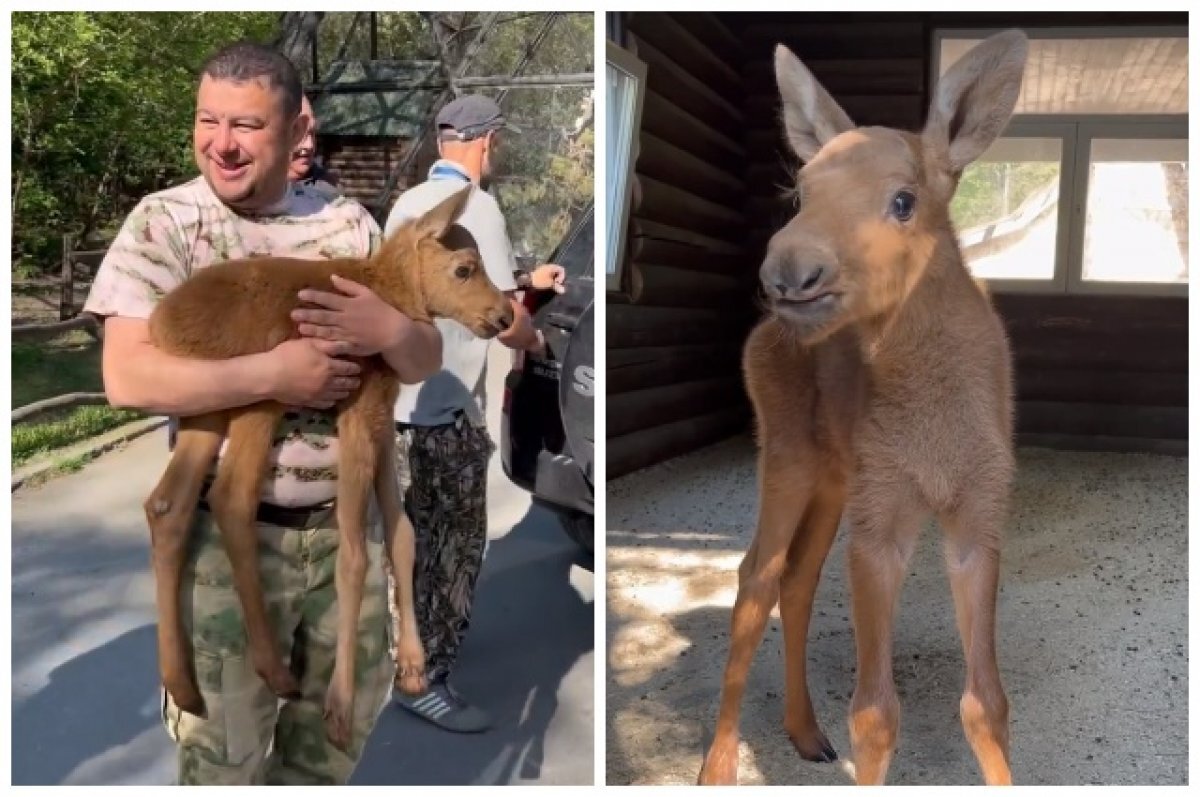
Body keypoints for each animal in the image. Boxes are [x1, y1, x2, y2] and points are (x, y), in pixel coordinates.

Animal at [700, 29, 1027, 782]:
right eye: (801, 190)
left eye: (903, 200)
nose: (788, 272)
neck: (937, 433)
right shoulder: (882, 521)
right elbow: (876, 715)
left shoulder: (979, 512)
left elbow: (987, 703)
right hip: (787, 455)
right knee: (755, 578)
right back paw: (717, 764)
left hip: (836, 475)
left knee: (797, 578)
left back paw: (803, 731)